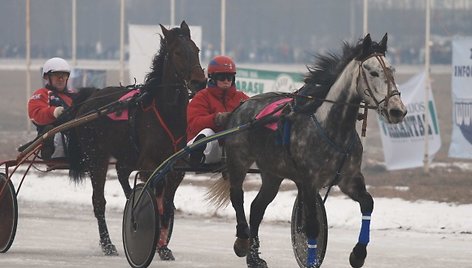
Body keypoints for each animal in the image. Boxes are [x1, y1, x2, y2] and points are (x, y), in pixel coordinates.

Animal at [68, 22, 205, 258]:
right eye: (178, 52)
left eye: (196, 50)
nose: (200, 81)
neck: (166, 113)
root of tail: (90, 99)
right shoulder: (148, 165)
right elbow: (154, 203)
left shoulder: (174, 168)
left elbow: (166, 206)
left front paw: (163, 247)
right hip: (97, 158)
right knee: (98, 201)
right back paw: (107, 244)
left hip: (127, 156)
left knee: (123, 175)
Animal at [210, 34, 406, 268]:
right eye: (373, 72)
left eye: (392, 70)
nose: (397, 110)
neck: (331, 127)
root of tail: (241, 106)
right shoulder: (309, 181)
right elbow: (312, 226)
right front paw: (311, 260)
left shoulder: (349, 178)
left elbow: (367, 203)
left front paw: (358, 254)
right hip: (238, 160)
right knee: (237, 196)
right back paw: (242, 240)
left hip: (272, 173)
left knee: (257, 208)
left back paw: (254, 257)